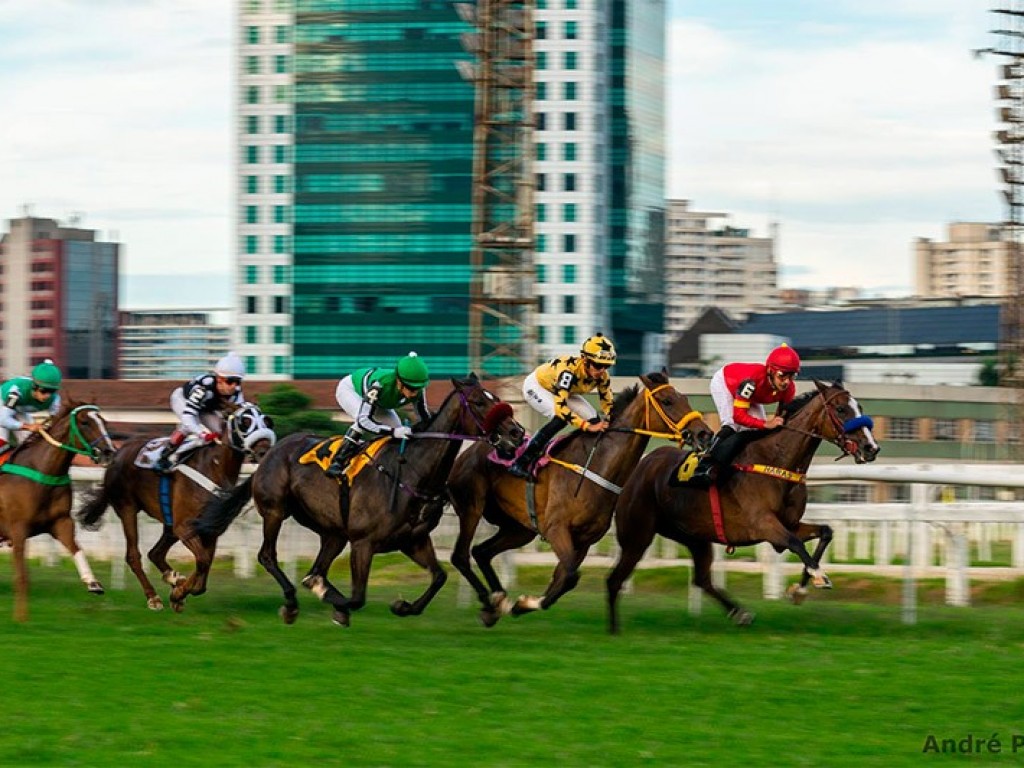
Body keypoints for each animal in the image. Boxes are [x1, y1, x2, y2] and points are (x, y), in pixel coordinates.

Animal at [0, 399, 116, 622]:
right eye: (84, 422)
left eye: (104, 421)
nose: (109, 452)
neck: (43, 474)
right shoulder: (18, 529)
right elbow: (22, 575)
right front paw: (21, 617)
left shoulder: (61, 522)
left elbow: (76, 548)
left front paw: (93, 583)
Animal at [76, 403, 276, 614]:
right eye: (244, 421)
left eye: (267, 421)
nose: (264, 451)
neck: (214, 467)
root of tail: (116, 455)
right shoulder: (185, 527)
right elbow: (203, 561)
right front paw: (179, 592)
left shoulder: (210, 529)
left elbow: (204, 567)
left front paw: (179, 589)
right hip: (128, 508)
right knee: (133, 555)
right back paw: (153, 597)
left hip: (169, 523)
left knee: (155, 553)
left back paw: (172, 578)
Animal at [194, 376, 524, 626]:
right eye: (480, 402)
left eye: (496, 397)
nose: (517, 432)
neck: (412, 471)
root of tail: (268, 454)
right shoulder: (364, 542)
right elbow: (356, 597)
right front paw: (333, 602)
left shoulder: (413, 540)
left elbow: (440, 576)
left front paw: (405, 606)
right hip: (275, 511)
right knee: (268, 556)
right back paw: (291, 602)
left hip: (334, 533)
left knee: (317, 566)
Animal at [444, 370, 716, 626]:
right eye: (667, 401)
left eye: (685, 398)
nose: (704, 433)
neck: (595, 465)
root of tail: (467, 452)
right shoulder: (557, 530)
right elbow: (569, 577)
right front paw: (521, 603)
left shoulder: (583, 540)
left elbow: (561, 580)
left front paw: (522, 604)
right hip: (472, 508)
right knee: (462, 554)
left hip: (519, 528)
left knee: (481, 551)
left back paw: (495, 603)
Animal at [606, 378, 880, 630]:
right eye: (841, 409)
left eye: (859, 406)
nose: (871, 448)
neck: (776, 460)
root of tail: (639, 465)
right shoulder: (763, 524)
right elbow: (796, 543)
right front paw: (819, 576)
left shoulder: (789, 523)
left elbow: (825, 532)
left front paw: (800, 590)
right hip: (637, 535)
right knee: (615, 578)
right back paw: (614, 629)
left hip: (694, 536)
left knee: (702, 579)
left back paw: (739, 612)